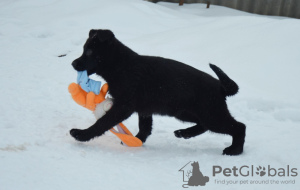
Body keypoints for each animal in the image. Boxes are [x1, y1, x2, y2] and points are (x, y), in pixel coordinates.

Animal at [71, 29, 246, 155]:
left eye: (89, 52)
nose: (73, 63)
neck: (121, 66)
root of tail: (220, 86)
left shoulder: (124, 106)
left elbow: (103, 123)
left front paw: (81, 134)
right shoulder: (144, 109)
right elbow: (145, 128)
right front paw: (137, 140)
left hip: (211, 115)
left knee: (239, 126)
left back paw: (235, 150)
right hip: (187, 113)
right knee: (204, 126)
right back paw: (185, 133)